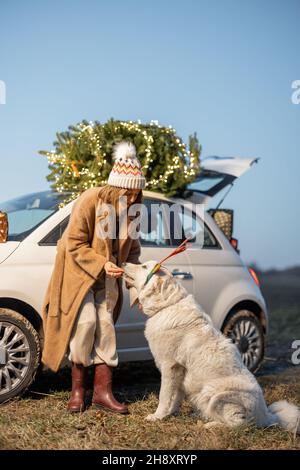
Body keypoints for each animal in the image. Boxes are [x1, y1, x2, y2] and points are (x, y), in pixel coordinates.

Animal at [122, 258, 300, 432]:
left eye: (143, 266)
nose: (123, 263)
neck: (167, 305)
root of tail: (266, 416)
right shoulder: (178, 373)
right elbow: (175, 397)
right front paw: (169, 415)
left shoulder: (170, 367)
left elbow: (164, 396)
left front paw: (157, 416)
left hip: (217, 396)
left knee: (240, 424)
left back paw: (210, 425)